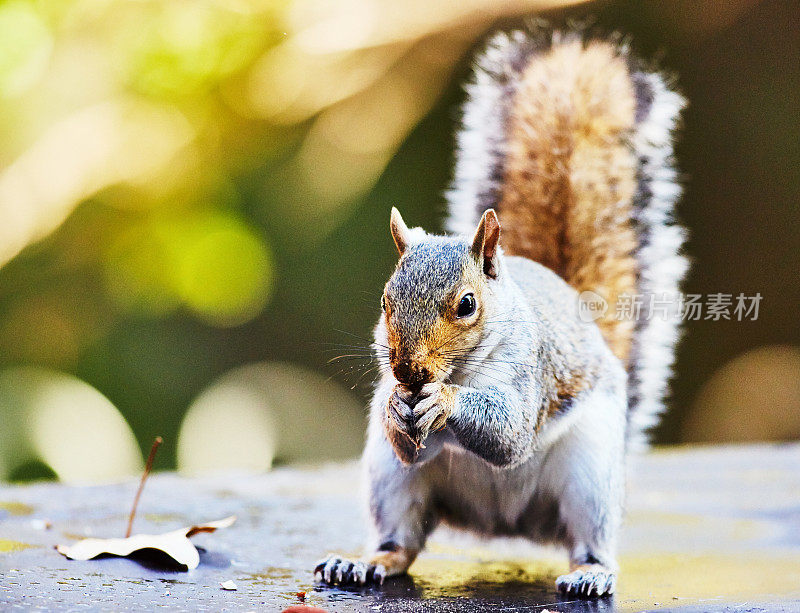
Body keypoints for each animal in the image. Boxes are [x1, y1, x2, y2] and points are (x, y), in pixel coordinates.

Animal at [312, 28, 688, 596]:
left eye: (467, 305)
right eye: (384, 300)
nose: (408, 372)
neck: (463, 370)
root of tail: (506, 524)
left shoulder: (530, 370)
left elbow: (509, 432)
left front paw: (444, 402)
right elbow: (411, 446)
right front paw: (395, 407)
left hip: (593, 474)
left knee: (589, 537)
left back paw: (591, 573)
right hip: (390, 480)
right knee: (402, 538)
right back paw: (366, 562)